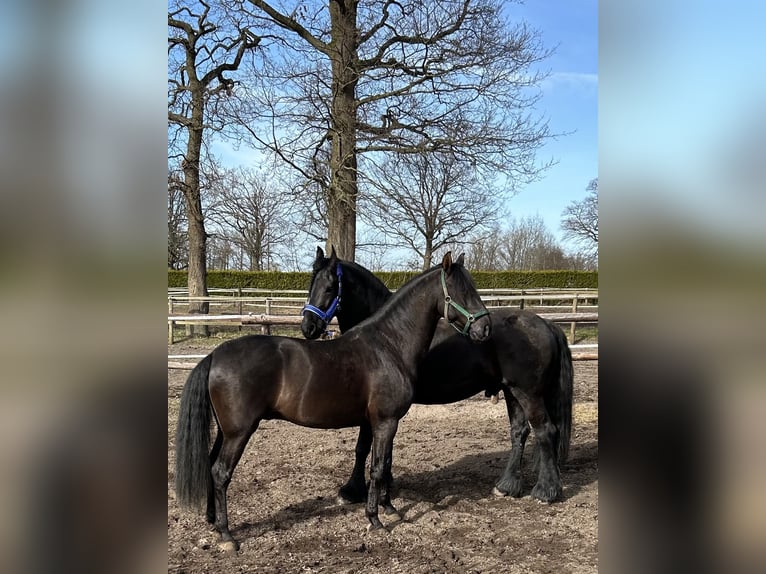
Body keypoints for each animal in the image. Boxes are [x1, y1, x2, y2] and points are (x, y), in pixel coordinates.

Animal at [174, 252, 491, 551]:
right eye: (461, 291)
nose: (485, 328)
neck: (388, 345)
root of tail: (215, 355)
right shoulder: (385, 421)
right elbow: (378, 467)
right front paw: (375, 519)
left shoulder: (381, 422)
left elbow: (383, 462)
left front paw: (389, 509)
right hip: (238, 433)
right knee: (220, 472)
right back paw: (227, 535)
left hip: (225, 432)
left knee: (210, 466)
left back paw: (213, 521)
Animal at [301, 247, 573, 505]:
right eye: (311, 284)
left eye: (330, 288)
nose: (308, 327)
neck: (387, 333)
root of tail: (547, 324)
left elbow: (362, 447)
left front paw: (352, 490)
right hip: (512, 391)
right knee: (520, 431)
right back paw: (506, 486)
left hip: (528, 393)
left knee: (545, 431)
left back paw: (545, 491)